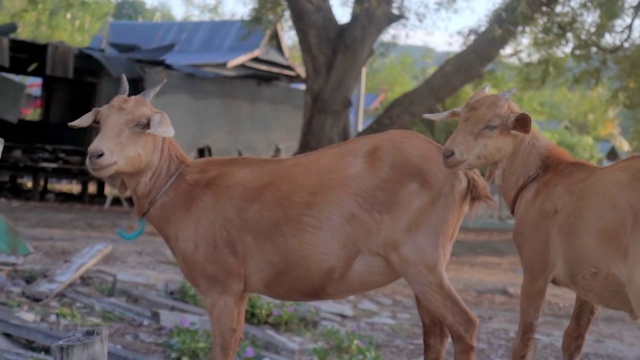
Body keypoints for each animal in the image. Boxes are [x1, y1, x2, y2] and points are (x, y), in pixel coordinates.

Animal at [70, 74, 492, 358]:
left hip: (421, 261)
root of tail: (459, 168)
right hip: (427, 267)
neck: (186, 189)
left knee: (465, 324)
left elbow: (223, 347)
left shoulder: (222, 285)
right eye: (99, 120)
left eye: (143, 123)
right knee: (435, 330)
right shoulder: (241, 290)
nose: (96, 155)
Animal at [424, 87, 640, 360]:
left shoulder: (536, 268)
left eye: (491, 125)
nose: (448, 154)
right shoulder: (588, 283)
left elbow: (524, 340)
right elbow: (573, 339)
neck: (540, 176)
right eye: (461, 119)